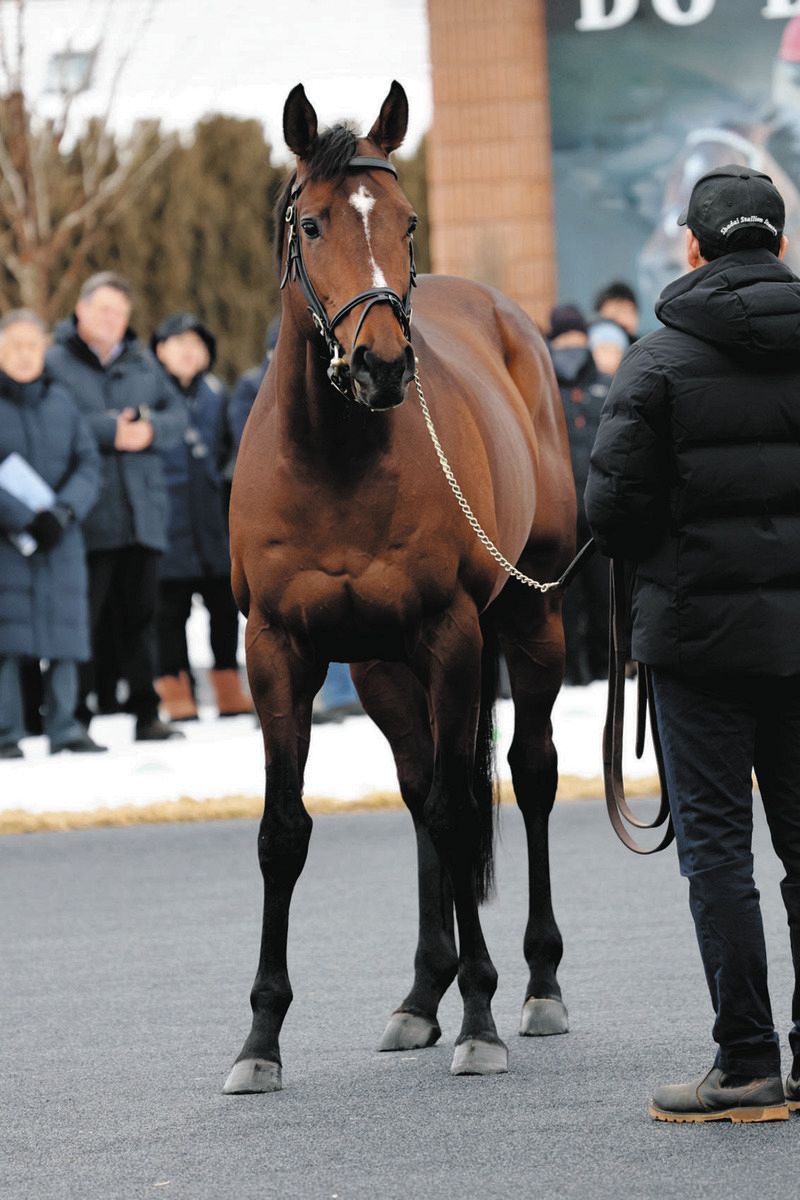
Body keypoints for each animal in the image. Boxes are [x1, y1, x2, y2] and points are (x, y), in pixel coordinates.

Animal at [224, 80, 576, 1093]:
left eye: (407, 222)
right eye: (311, 222)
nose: (383, 363)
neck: (335, 461)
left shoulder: (451, 634)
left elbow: (465, 812)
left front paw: (482, 1019)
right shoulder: (277, 651)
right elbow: (284, 832)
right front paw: (260, 1039)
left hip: (532, 618)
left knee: (526, 776)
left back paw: (535, 984)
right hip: (382, 669)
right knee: (421, 785)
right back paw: (423, 994)